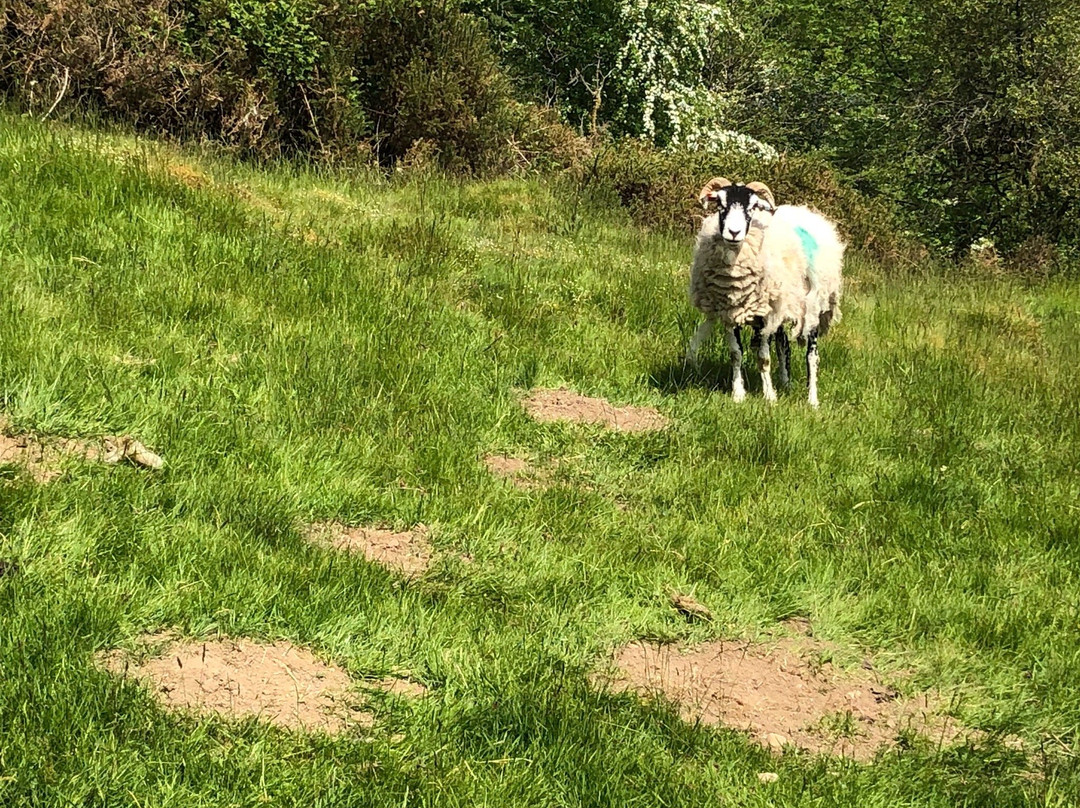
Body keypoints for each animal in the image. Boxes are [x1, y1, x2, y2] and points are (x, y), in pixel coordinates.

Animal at [686, 176, 846, 404]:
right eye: (721, 204)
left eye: (752, 207)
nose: (733, 233)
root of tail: (805, 210)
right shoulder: (730, 312)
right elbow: (736, 353)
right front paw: (738, 394)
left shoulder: (766, 315)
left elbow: (763, 358)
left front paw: (769, 396)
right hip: (783, 306)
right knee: (784, 344)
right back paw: (786, 383)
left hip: (814, 306)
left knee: (812, 356)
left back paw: (812, 399)